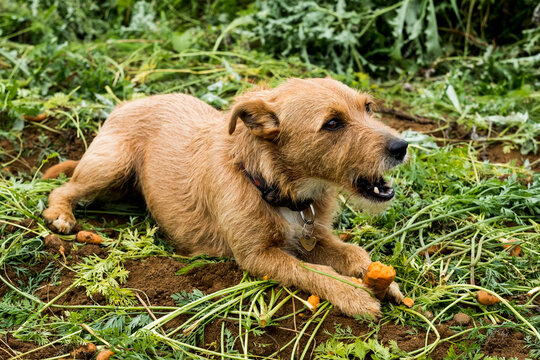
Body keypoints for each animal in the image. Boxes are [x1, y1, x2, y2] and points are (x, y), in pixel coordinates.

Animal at [42, 77, 408, 316]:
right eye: (332, 123)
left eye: (368, 107)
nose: (402, 146)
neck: (271, 184)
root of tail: (126, 103)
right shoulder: (257, 256)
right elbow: (311, 271)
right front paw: (353, 294)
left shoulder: (315, 235)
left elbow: (355, 254)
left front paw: (385, 283)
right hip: (111, 166)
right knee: (63, 188)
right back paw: (61, 214)